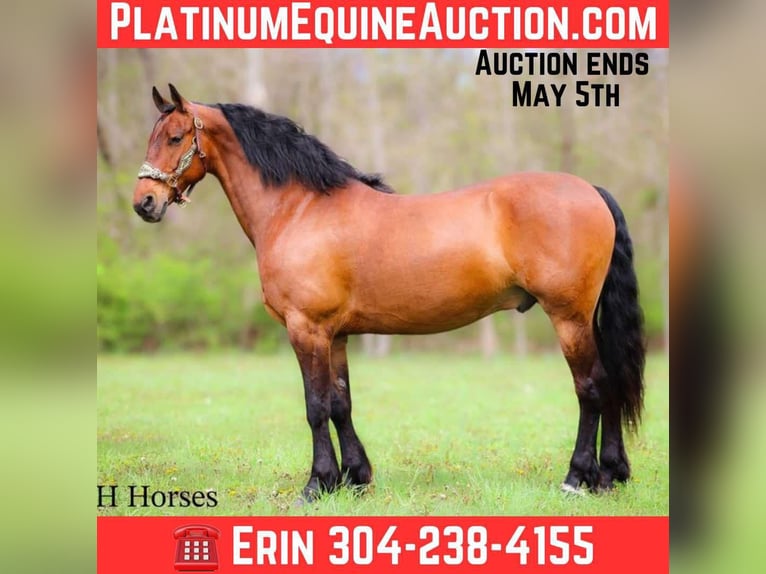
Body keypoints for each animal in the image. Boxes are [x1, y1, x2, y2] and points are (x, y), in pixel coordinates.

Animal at [132, 84, 646, 499]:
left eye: (175, 138)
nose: (144, 203)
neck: (300, 208)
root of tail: (590, 190)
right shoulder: (335, 335)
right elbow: (340, 403)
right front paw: (355, 479)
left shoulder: (306, 329)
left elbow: (315, 406)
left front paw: (317, 483)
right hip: (586, 319)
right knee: (611, 383)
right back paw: (611, 475)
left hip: (568, 318)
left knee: (591, 388)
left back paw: (578, 478)